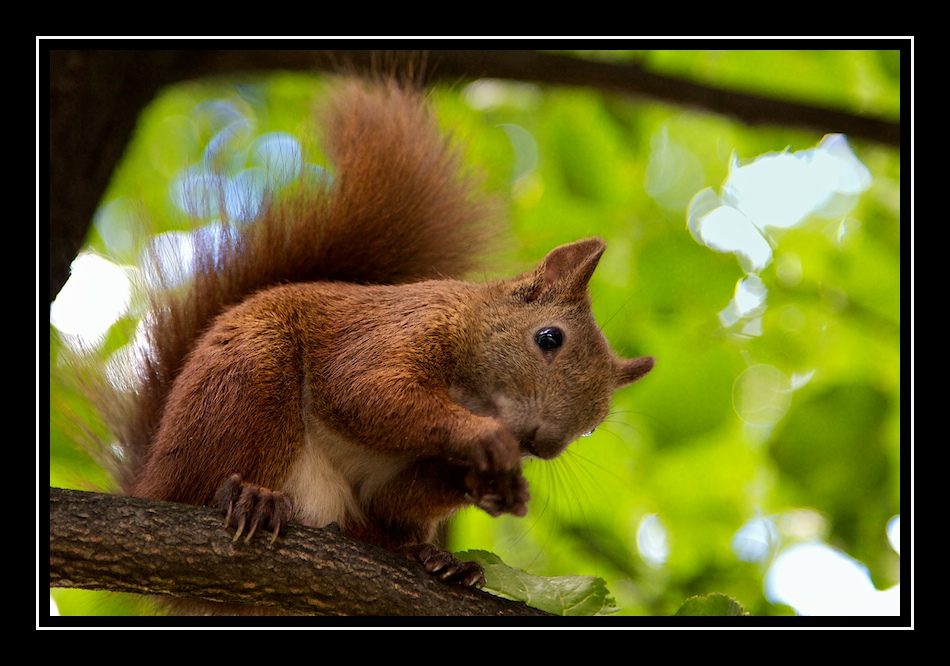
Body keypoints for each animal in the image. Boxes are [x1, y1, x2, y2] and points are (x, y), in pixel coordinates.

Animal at [101, 79, 654, 612]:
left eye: (595, 423)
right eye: (548, 338)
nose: (542, 443)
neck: (472, 390)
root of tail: (152, 476)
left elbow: (399, 495)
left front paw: (488, 485)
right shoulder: (397, 331)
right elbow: (364, 392)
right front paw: (485, 441)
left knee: (375, 524)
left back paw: (434, 558)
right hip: (250, 378)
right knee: (206, 482)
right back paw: (246, 497)